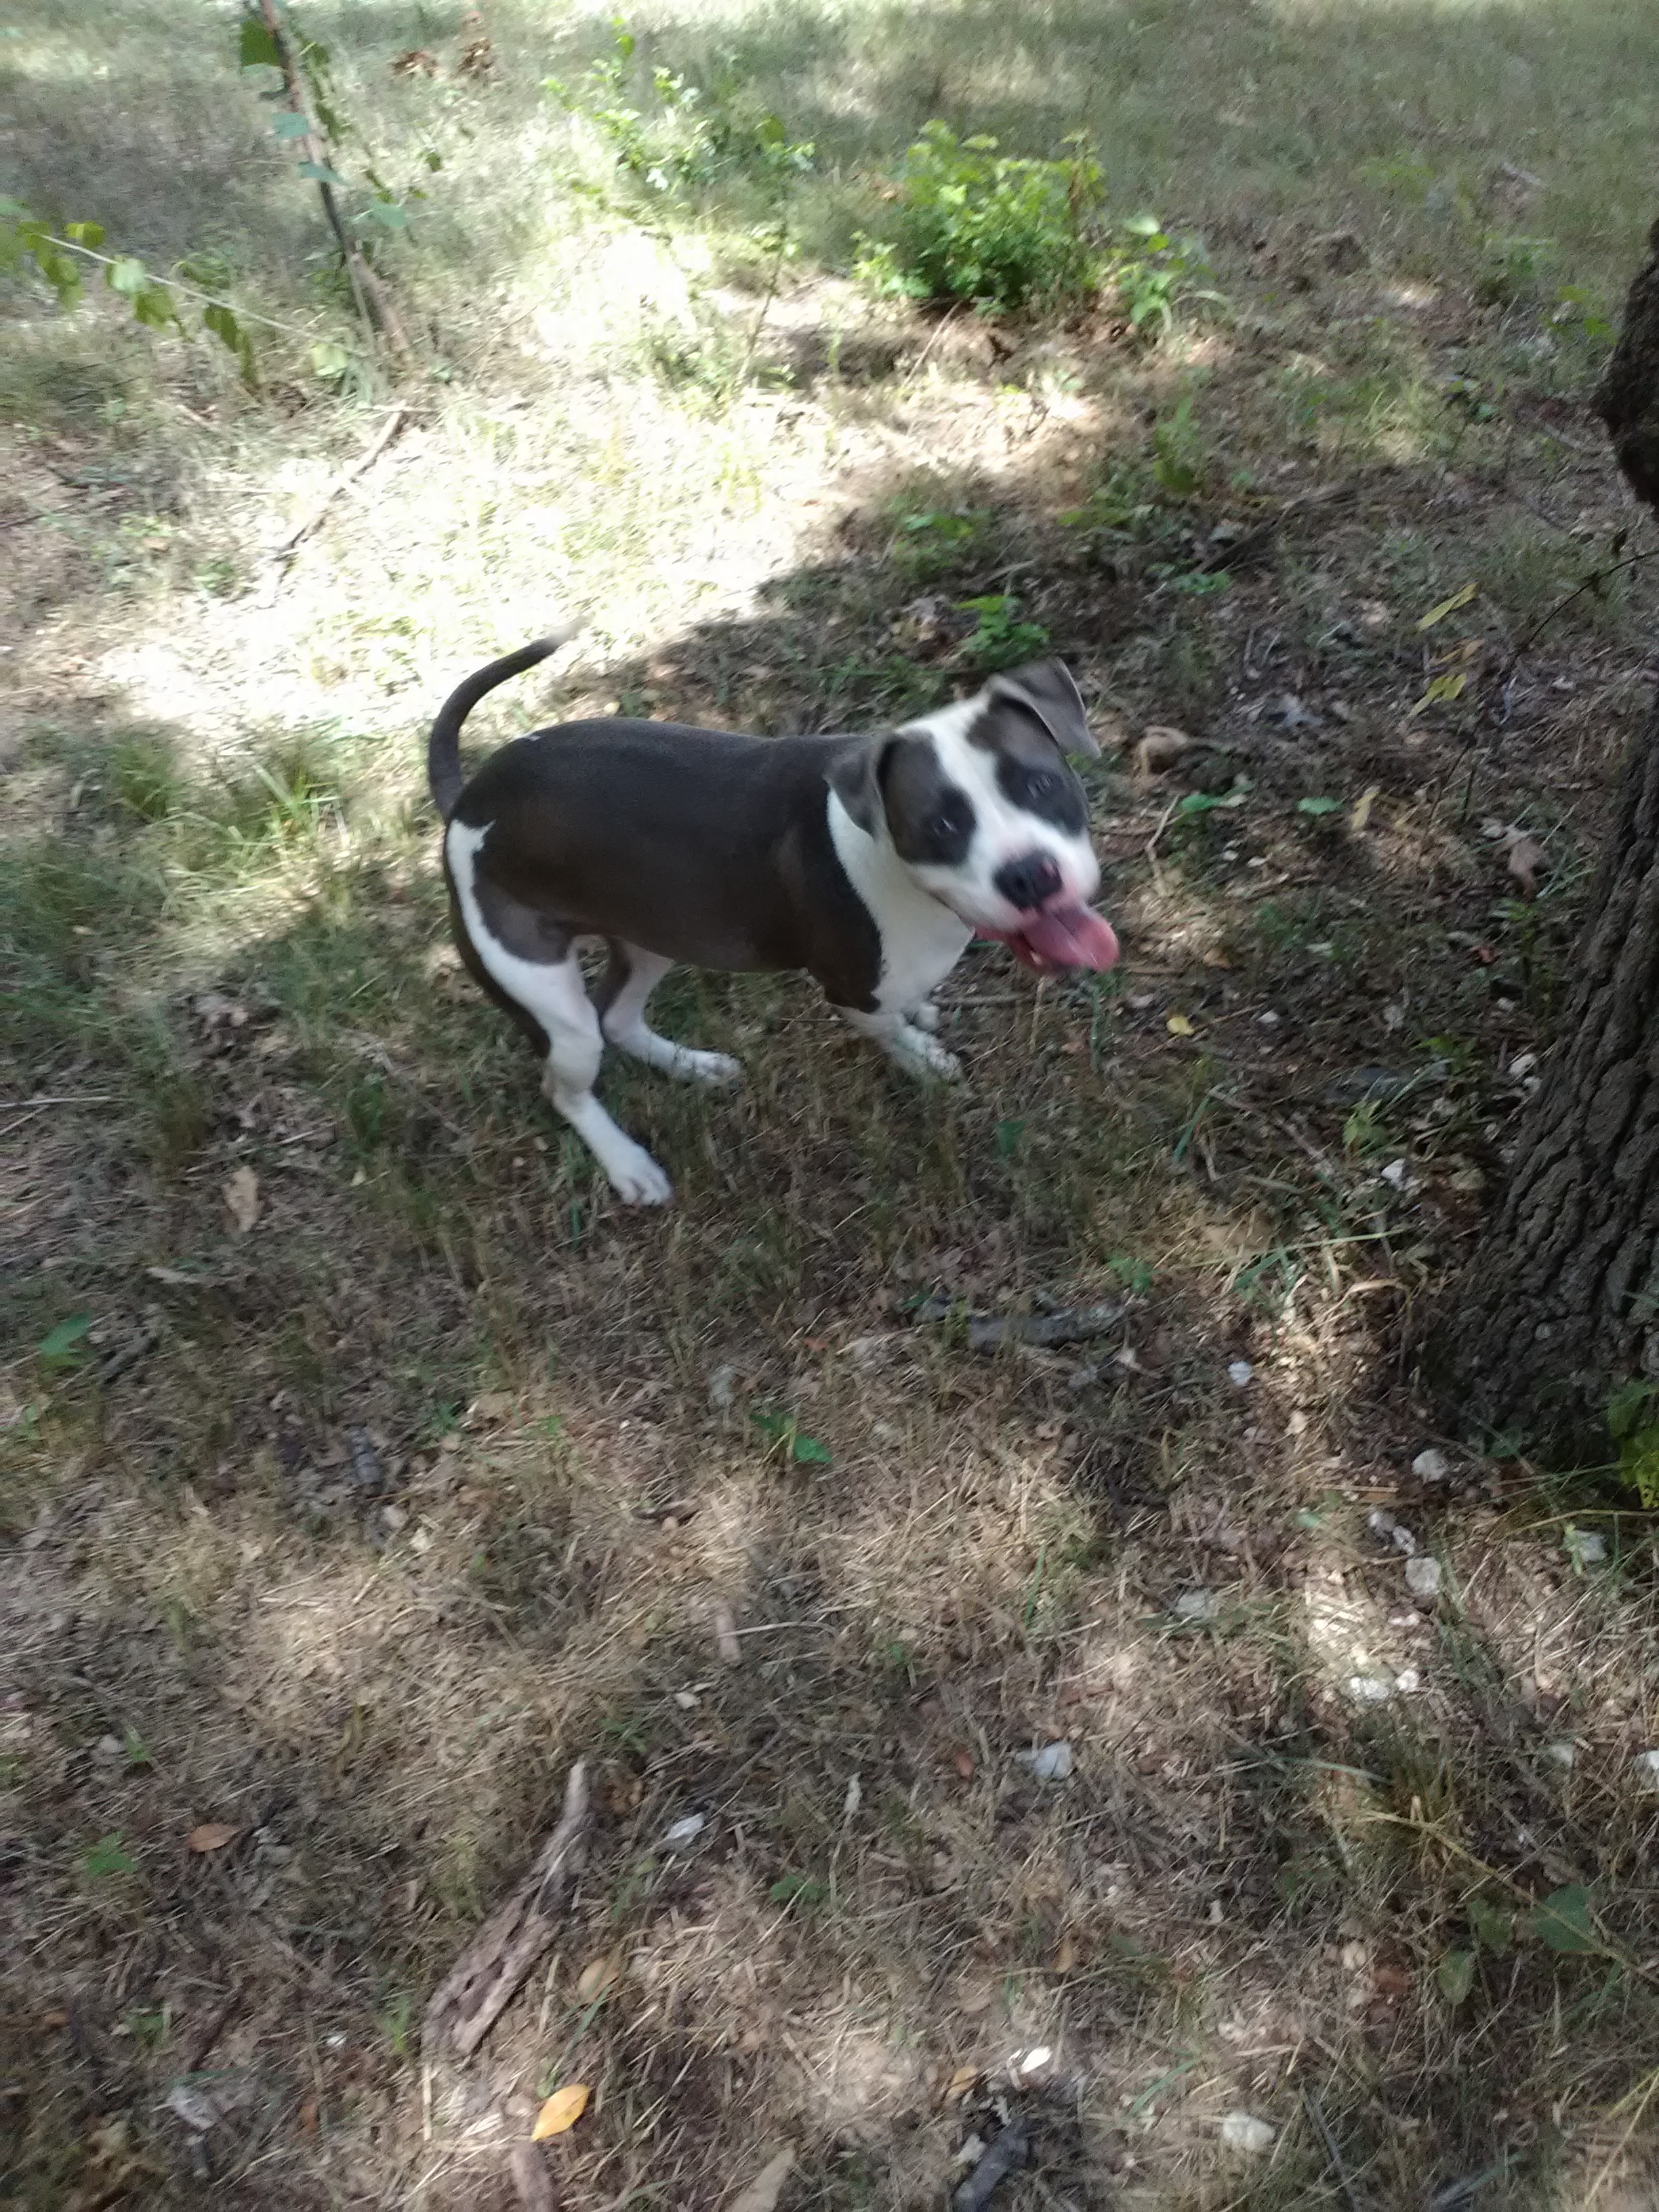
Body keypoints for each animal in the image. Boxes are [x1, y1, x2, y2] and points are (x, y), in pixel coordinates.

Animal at [429, 632, 1124, 1203]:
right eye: (943, 826)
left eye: (1039, 785)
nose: (1029, 874)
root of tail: (469, 802)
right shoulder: (850, 990)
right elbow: (885, 1029)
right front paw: (921, 1059)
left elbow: (907, 1007)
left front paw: (923, 1019)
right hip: (548, 998)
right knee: (567, 1083)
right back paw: (627, 1163)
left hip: (653, 931)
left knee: (619, 1017)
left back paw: (695, 1067)